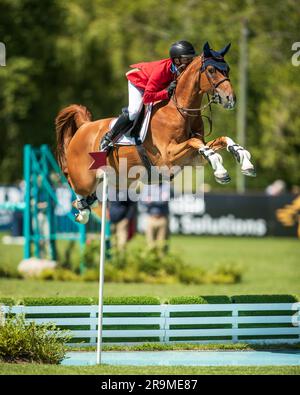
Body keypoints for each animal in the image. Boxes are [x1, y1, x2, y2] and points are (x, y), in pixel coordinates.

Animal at [55, 42, 254, 226]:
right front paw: (221, 171)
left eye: (227, 69)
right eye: (211, 70)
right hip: (83, 178)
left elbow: (220, 141)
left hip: (118, 178)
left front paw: (244, 159)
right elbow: (195, 143)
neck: (181, 110)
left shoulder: (192, 159)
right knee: (72, 182)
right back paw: (82, 208)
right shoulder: (167, 157)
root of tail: (84, 126)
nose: (230, 99)